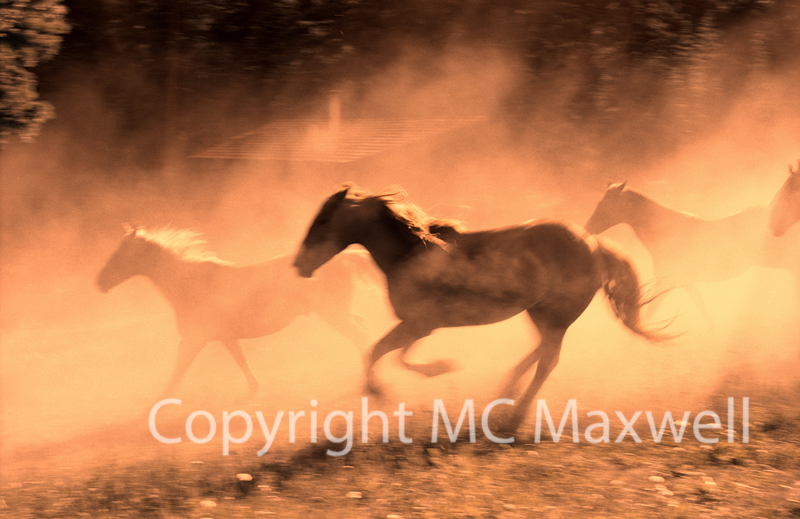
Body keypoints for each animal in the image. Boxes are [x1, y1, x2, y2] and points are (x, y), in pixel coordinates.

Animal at [96, 225, 377, 397]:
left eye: (121, 254)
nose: (99, 282)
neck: (190, 284)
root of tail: (342, 256)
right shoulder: (225, 337)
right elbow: (241, 361)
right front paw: (255, 391)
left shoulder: (194, 339)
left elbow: (177, 372)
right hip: (337, 313)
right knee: (364, 329)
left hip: (333, 314)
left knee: (361, 336)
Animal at [293, 184, 663, 432]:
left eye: (323, 220)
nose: (299, 265)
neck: (409, 255)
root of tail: (593, 245)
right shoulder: (420, 326)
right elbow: (391, 354)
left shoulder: (419, 325)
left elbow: (381, 352)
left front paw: (386, 388)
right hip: (539, 312)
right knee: (541, 350)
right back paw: (505, 391)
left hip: (556, 316)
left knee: (548, 360)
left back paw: (513, 418)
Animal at [585, 182, 800, 323]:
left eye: (606, 206)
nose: (588, 228)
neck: (664, 232)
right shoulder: (685, 282)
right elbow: (702, 308)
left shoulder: (668, 281)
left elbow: (649, 311)